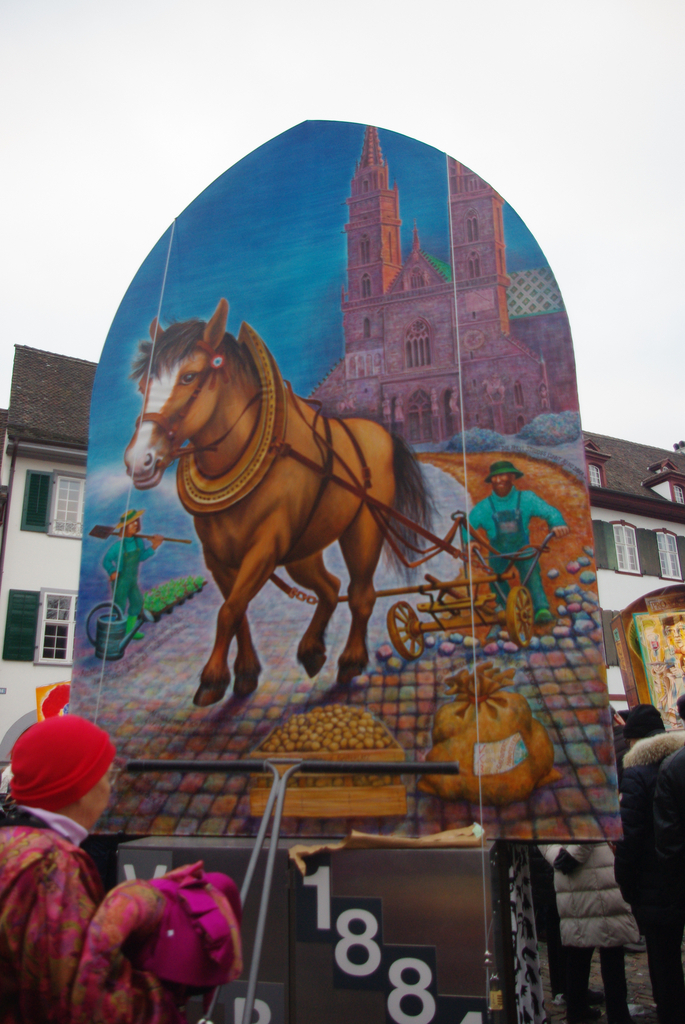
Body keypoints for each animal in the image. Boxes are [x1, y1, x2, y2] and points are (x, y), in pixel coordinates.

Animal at [124, 299, 432, 707]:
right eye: (143, 386)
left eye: (189, 377)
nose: (139, 460)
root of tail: (379, 431)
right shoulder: (218, 557)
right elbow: (237, 611)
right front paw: (244, 674)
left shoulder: (264, 549)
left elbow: (228, 611)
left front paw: (212, 679)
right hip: (303, 549)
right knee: (331, 587)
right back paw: (312, 650)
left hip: (364, 527)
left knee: (361, 594)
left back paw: (350, 661)